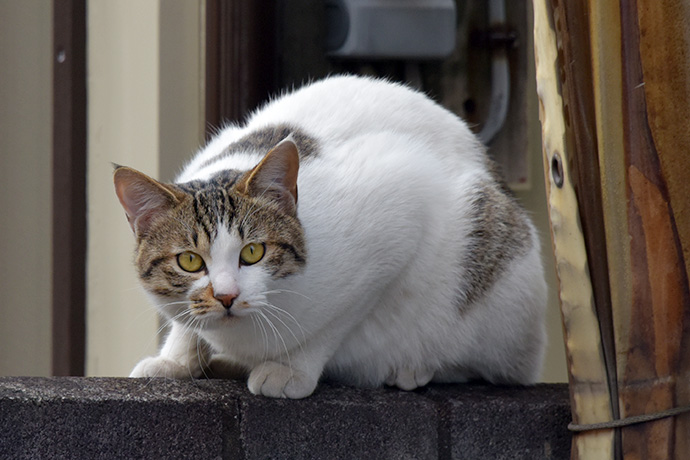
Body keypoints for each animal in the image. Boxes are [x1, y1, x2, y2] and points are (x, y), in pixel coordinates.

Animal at [111, 75, 544, 398]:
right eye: (189, 261)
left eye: (253, 252)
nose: (227, 296)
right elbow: (186, 325)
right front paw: (176, 360)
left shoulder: (399, 218)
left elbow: (333, 324)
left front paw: (290, 369)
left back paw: (413, 369)